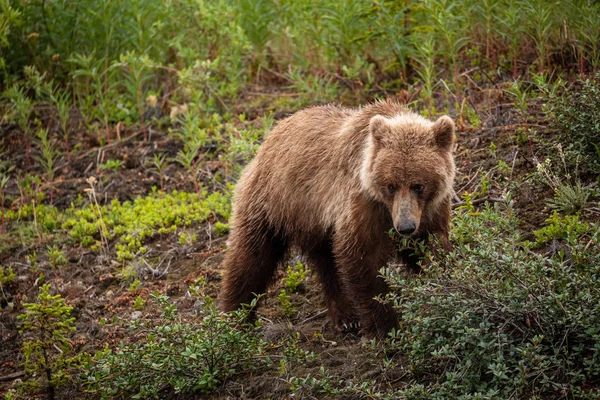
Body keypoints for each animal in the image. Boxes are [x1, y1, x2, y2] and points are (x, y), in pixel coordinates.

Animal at [220, 100, 454, 338]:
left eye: (419, 185)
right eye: (391, 185)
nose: (405, 227)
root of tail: (267, 141)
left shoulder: (430, 210)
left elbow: (432, 247)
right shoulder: (364, 205)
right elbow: (363, 259)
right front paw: (385, 328)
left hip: (315, 222)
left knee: (328, 264)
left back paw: (346, 317)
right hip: (271, 203)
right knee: (251, 258)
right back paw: (235, 319)